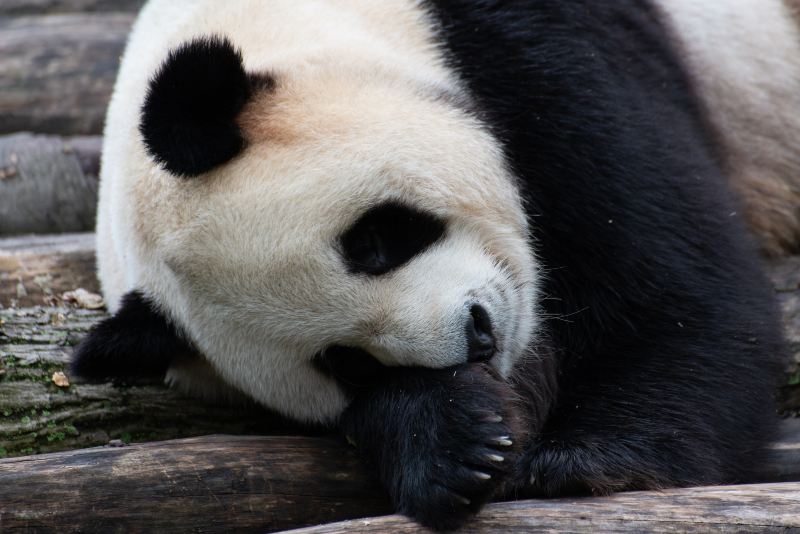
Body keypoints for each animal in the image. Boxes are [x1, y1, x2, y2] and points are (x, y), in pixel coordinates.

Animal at [72, 1, 796, 532]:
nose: (478, 336)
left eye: (372, 241)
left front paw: (588, 460)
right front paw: (454, 444)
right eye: (347, 362)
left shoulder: (538, 45)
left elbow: (672, 281)